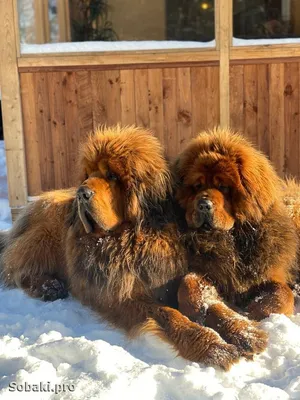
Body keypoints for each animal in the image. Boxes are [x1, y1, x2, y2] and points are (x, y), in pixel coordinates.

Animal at [0, 126, 246, 370]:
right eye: (88, 175)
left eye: (111, 175)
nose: (81, 193)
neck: (129, 239)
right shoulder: (122, 295)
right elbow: (168, 314)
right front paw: (212, 347)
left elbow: (195, 290)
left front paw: (239, 330)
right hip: (47, 234)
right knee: (17, 270)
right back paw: (48, 286)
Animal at [175, 128, 298, 346]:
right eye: (197, 186)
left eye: (223, 187)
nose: (203, 205)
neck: (232, 242)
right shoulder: (210, 271)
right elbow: (188, 284)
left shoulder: (270, 273)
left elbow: (282, 295)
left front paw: (249, 315)